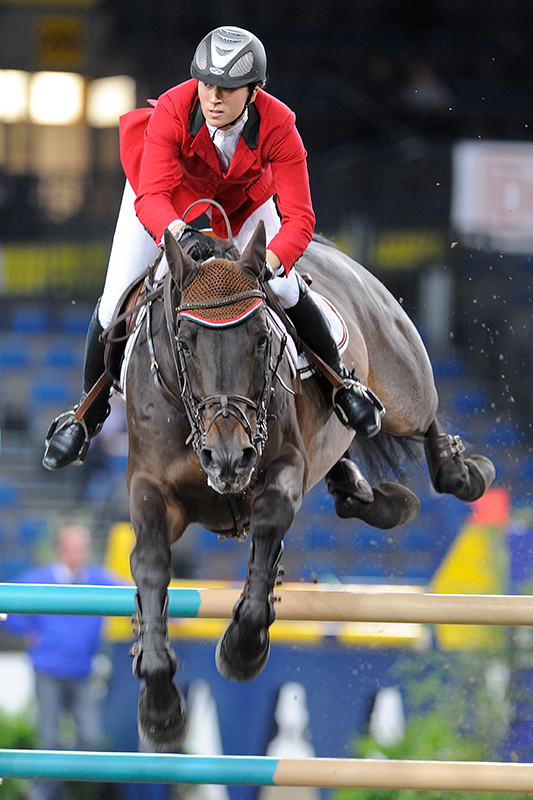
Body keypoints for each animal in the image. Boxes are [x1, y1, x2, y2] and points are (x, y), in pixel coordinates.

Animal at [121, 220, 494, 752]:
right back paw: (372, 497)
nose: (229, 458)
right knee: (349, 467)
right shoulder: (151, 488)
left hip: (404, 387)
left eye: (261, 338)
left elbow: (268, 526)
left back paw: (460, 473)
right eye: (186, 341)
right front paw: (158, 703)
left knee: (422, 420)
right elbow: (150, 564)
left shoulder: (285, 466)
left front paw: (242, 648)